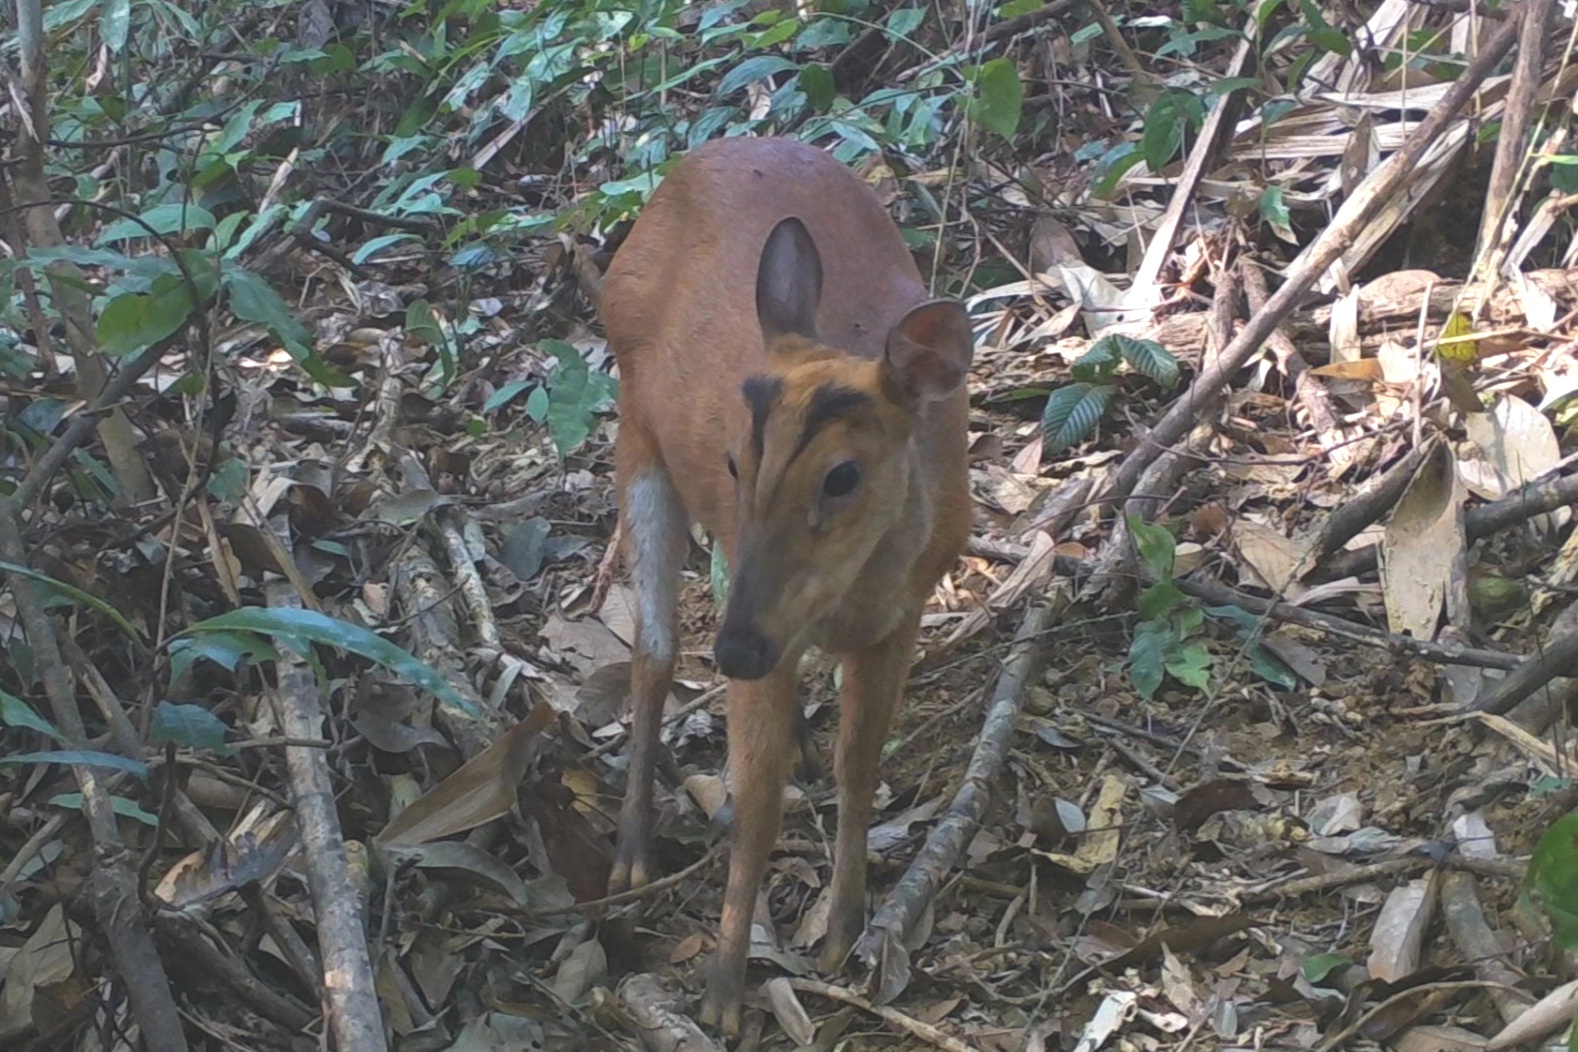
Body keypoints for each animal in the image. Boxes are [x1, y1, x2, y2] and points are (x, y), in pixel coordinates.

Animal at [599, 135, 972, 1034]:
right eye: (735, 461)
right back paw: (630, 857)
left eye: (843, 476)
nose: (734, 650)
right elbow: (758, 802)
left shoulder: (902, 613)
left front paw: (844, 932)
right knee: (654, 648)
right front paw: (724, 992)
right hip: (636, 430)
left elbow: (860, 764)